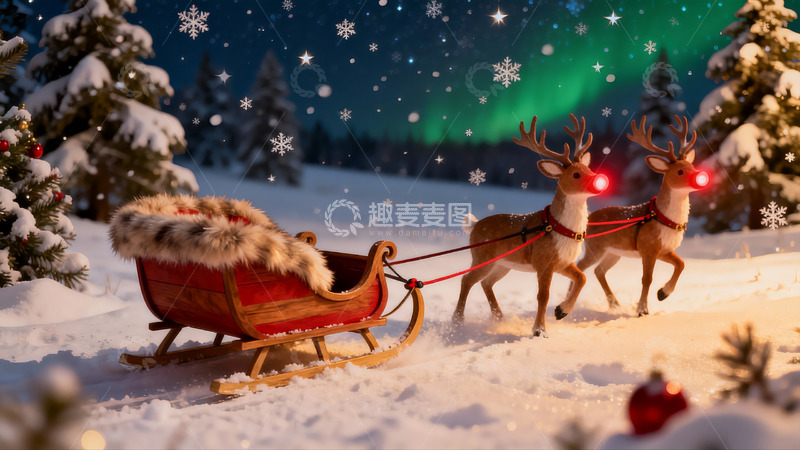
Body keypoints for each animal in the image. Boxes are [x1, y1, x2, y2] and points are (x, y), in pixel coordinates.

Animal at [453, 114, 609, 337]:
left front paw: (561, 311)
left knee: (486, 282)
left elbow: (582, 278)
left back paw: (498, 317)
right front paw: (539, 330)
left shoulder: (563, 262)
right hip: (483, 257)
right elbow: (543, 295)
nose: (599, 180)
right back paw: (457, 322)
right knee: (466, 279)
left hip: (503, 264)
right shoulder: (544, 262)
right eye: (576, 175)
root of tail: (474, 226)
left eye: (589, 168)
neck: (562, 228)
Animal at [560, 115, 709, 318]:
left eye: (691, 165)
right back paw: (567, 305)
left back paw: (614, 304)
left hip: (614, 252)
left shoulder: (665, 249)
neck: (665, 218)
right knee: (581, 266)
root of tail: (589, 219)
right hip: (595, 247)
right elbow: (647, 278)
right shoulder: (648, 247)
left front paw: (663, 293)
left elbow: (681, 264)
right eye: (680, 171)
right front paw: (642, 310)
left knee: (599, 271)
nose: (699, 176)